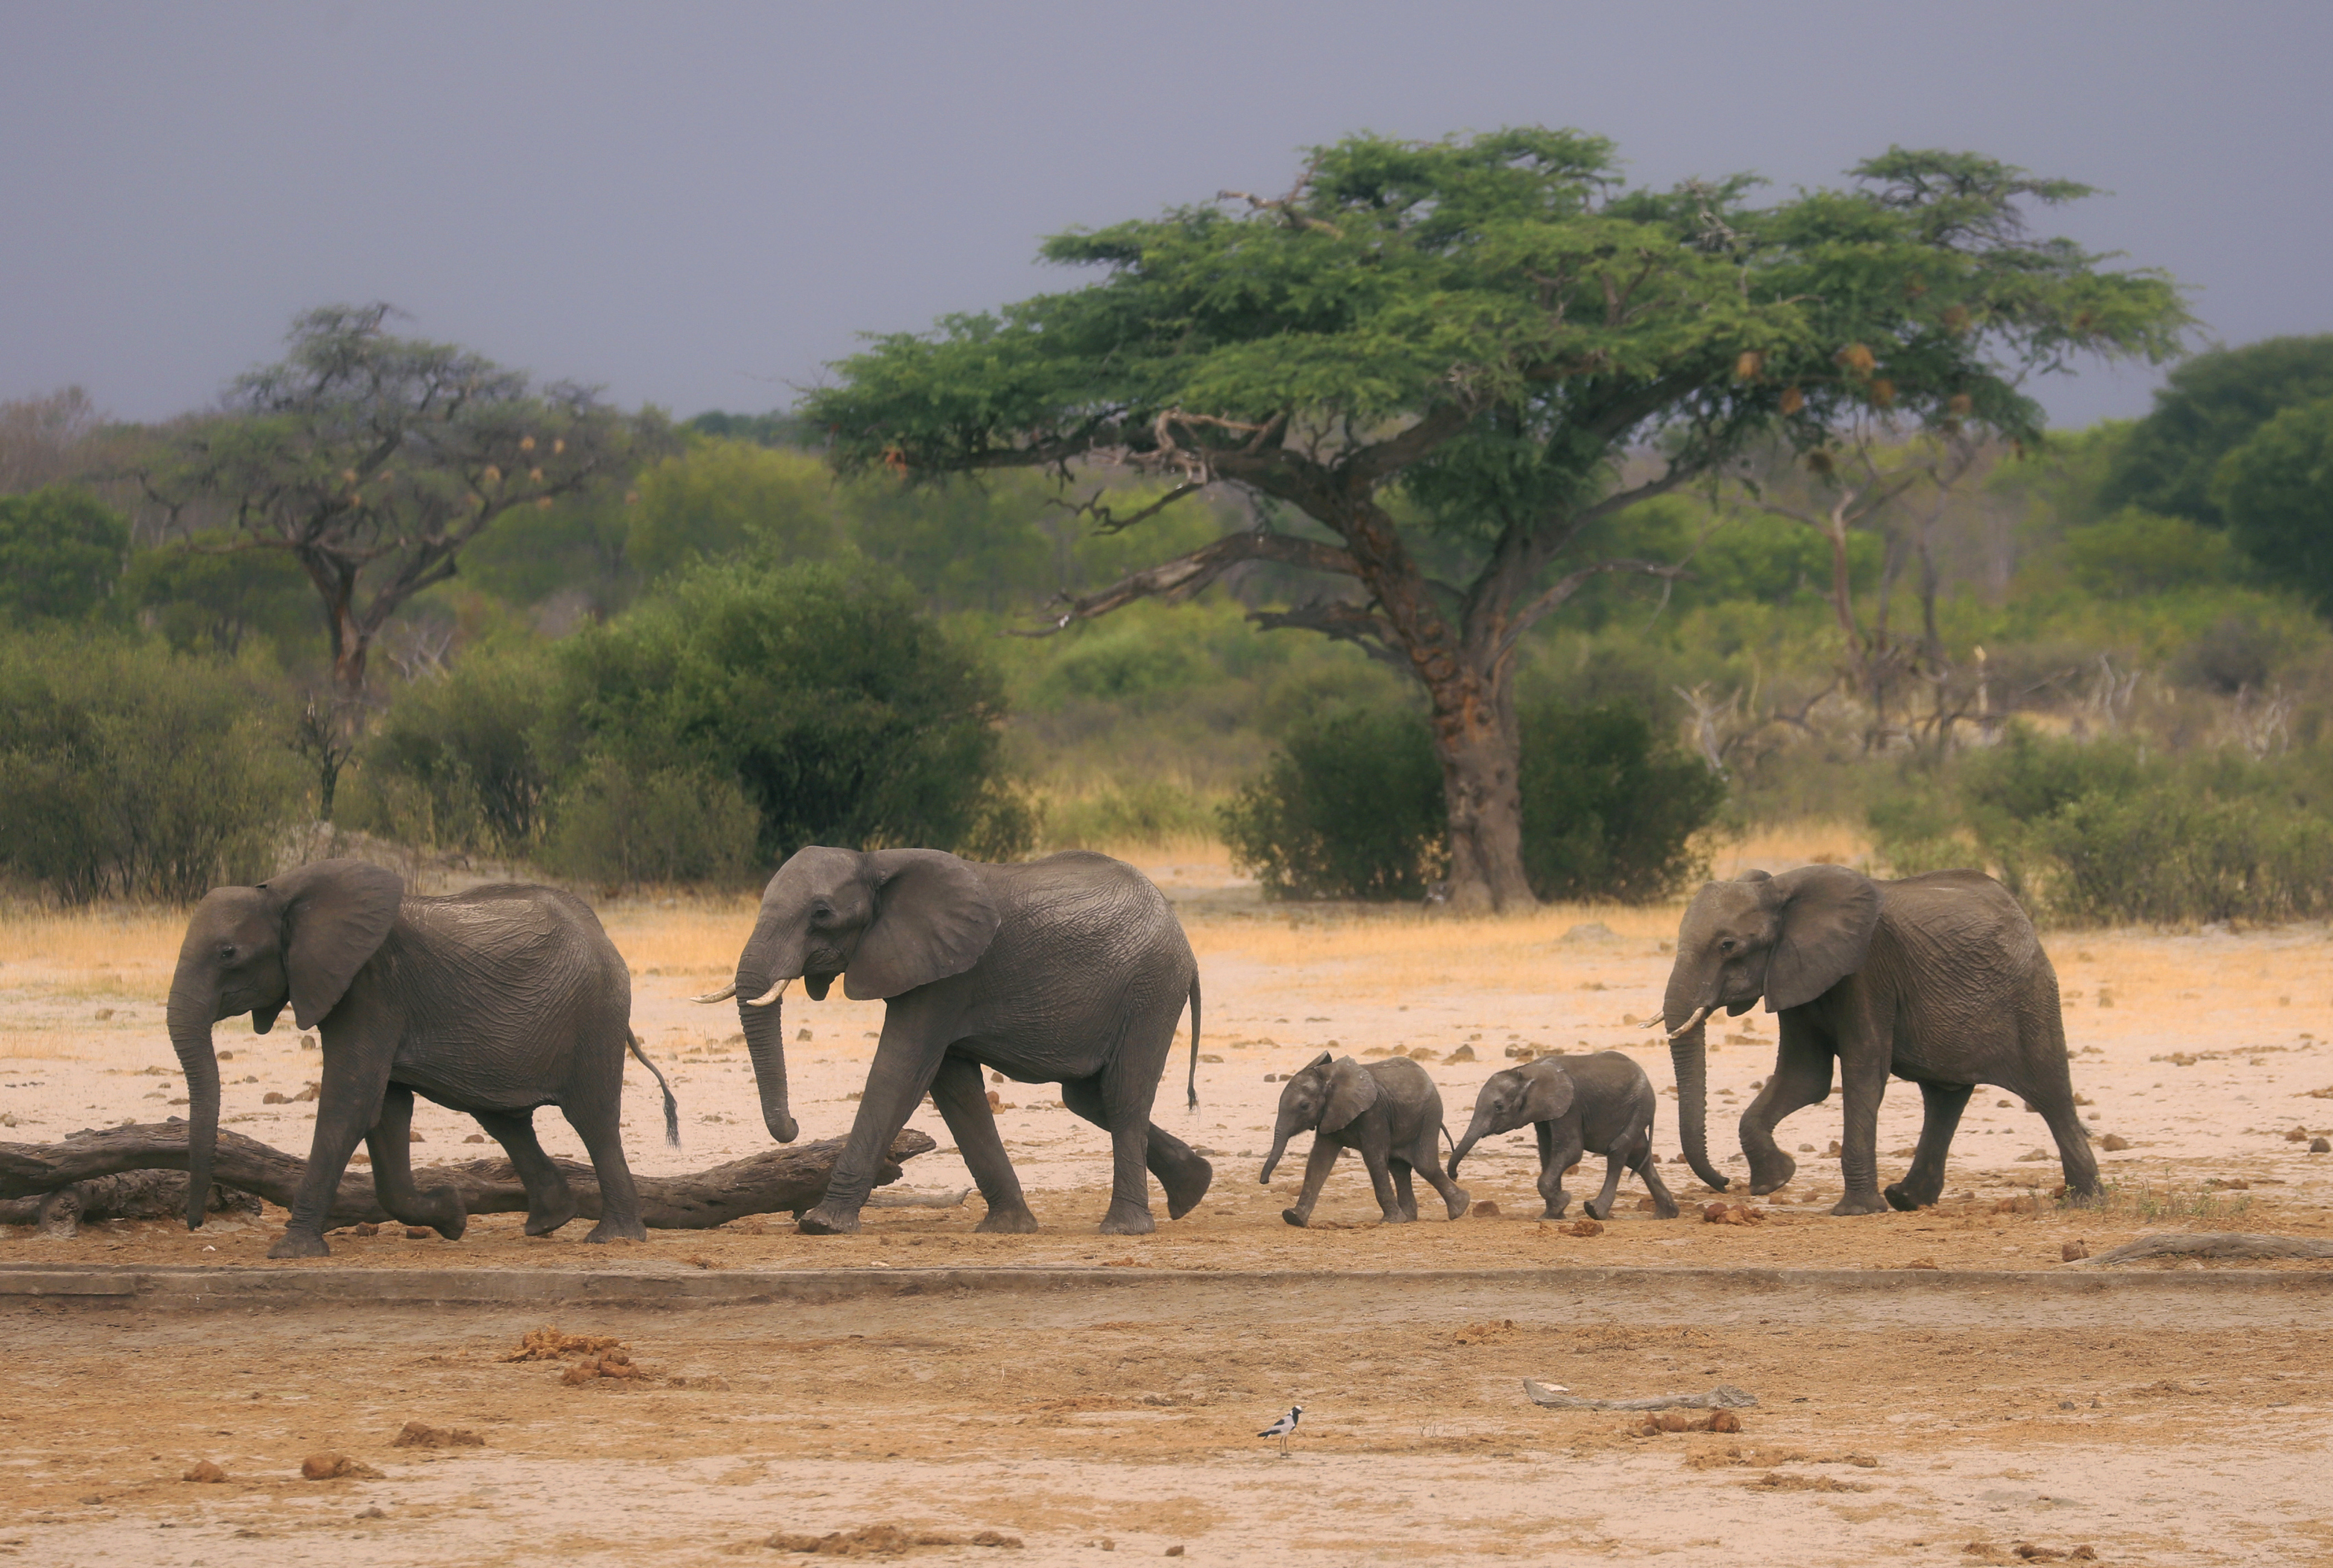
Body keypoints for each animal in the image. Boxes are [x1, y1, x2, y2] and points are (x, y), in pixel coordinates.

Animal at [162, 863, 677, 1260]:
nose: (195, 1223)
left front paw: (290, 1252)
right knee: (504, 1119)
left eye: (228, 953)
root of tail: (603, 935)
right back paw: (548, 1222)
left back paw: (612, 1237)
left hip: (596, 1016)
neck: (286, 894)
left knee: (592, 1119)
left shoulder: (370, 989)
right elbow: (384, 1112)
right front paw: (452, 1215)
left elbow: (350, 1106)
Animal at [690, 844, 1204, 1241]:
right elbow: (954, 1089)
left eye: (821, 914)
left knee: (1122, 1096)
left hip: (1151, 989)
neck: (875, 861)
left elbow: (900, 1071)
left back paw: (1124, 1228)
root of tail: (1182, 936)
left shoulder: (948, 978)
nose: (794, 1126)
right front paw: (1007, 1228)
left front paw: (823, 1224)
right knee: (1085, 1097)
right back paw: (1194, 1189)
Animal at [1250, 1054, 1465, 1223]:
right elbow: (1319, 1160)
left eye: (1304, 1106)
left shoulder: (1373, 1113)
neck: (1328, 1077)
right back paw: (1411, 1218)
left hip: (1430, 1115)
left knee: (1424, 1164)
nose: (1264, 1182)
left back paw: (1459, 1209)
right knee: (1399, 1168)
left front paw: (1391, 1222)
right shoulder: (1330, 1114)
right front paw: (1294, 1218)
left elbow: (1373, 1158)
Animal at [1437, 1054, 1679, 1223]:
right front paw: (1553, 1214)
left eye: (1498, 1107)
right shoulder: (1545, 1114)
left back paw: (1595, 1211)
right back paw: (1666, 1214)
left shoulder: (1570, 1107)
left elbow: (1570, 1151)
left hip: (1640, 1105)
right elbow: (1548, 1154)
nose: (1456, 1175)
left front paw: (1563, 1201)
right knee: (1639, 1156)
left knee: (1619, 1150)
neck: (1527, 1071)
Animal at [1661, 863, 2099, 1223]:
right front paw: (1775, 1181)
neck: (1781, 889)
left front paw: (1855, 1212)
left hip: (2029, 995)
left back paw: (2085, 1201)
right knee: (1944, 1098)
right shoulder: (1794, 974)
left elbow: (1863, 1069)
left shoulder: (1867, 971)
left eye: (1727, 946)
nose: (1725, 1182)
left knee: (2050, 1092)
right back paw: (1907, 1199)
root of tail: (2022, 915)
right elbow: (1805, 1077)